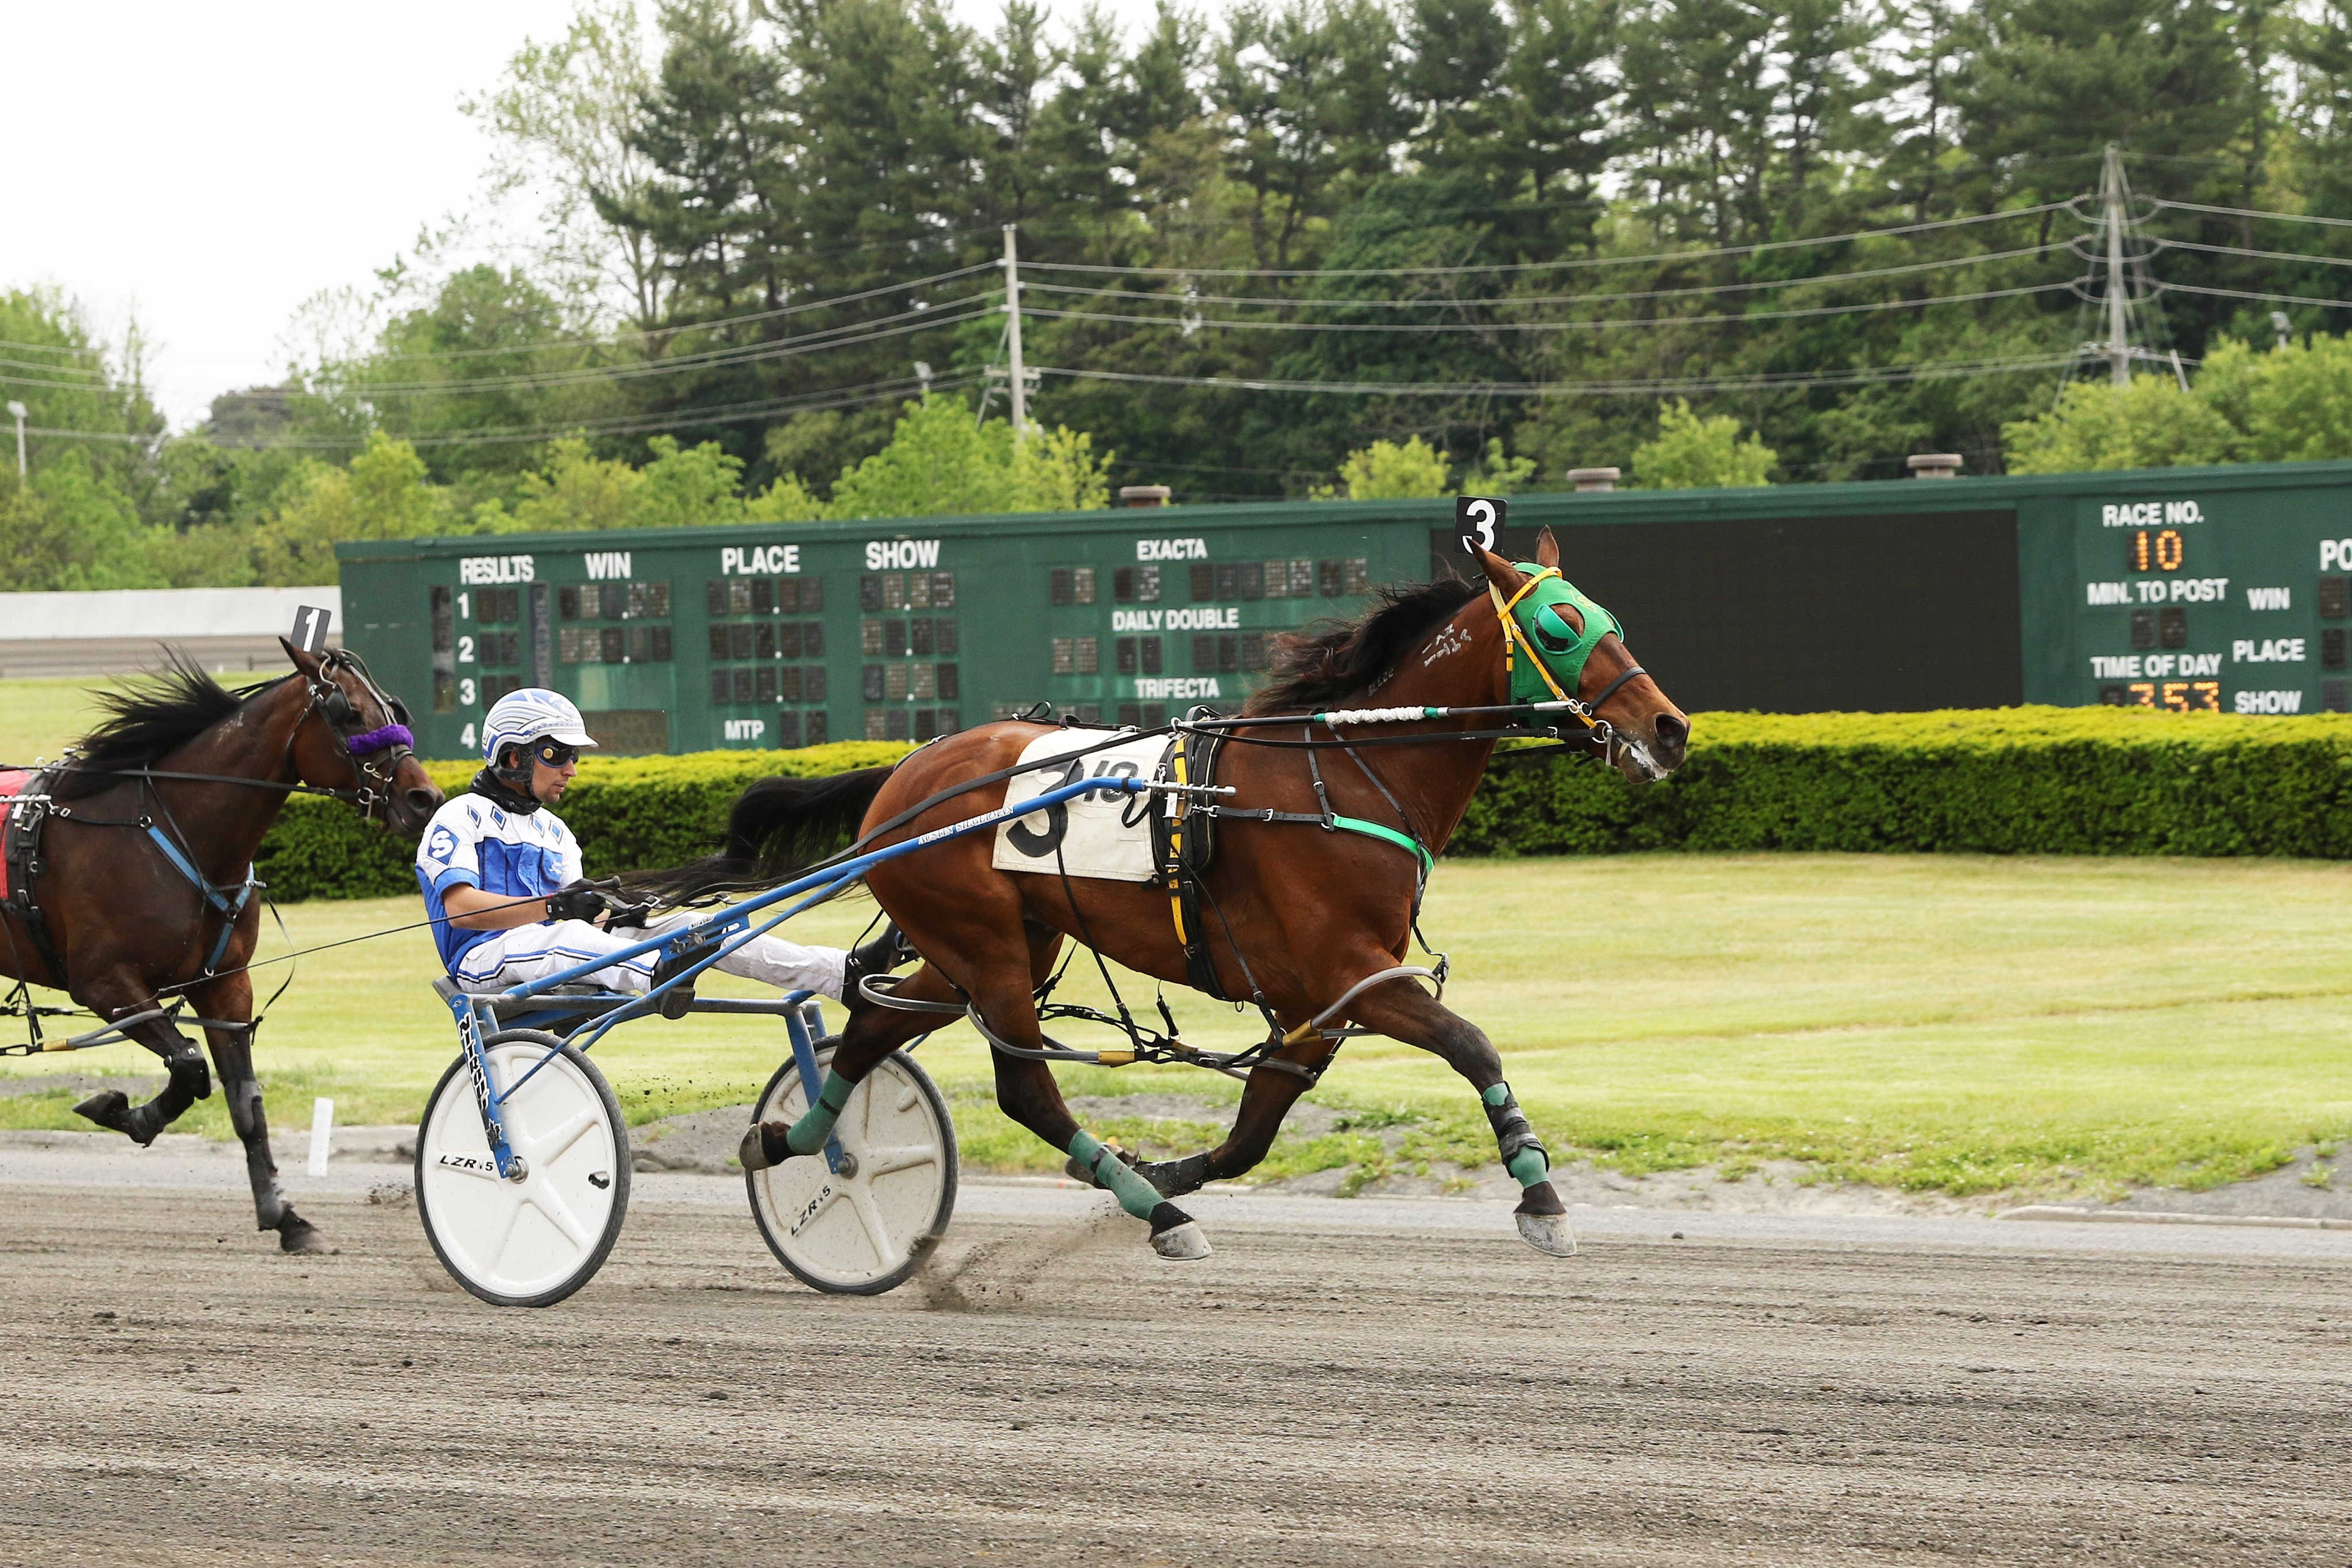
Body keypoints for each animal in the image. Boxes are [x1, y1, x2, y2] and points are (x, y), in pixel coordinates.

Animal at [0, 641, 442, 1253]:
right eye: (348, 713)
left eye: (394, 708)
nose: (425, 797)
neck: (168, 830)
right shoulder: (106, 984)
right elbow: (189, 1066)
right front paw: (124, 1111)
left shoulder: (225, 984)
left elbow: (245, 1099)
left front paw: (287, 1217)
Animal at [691, 533, 1690, 1260]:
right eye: (1560, 628)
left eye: (1610, 620)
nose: (1670, 726)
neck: (1344, 776)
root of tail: (906, 772)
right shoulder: (1351, 971)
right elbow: (1470, 1042)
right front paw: (1542, 1194)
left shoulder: (1317, 1002)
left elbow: (1254, 1131)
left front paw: (1169, 1168)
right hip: (984, 945)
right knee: (1023, 1086)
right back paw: (1152, 1212)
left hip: (991, 944)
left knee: (872, 1025)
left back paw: (788, 1141)